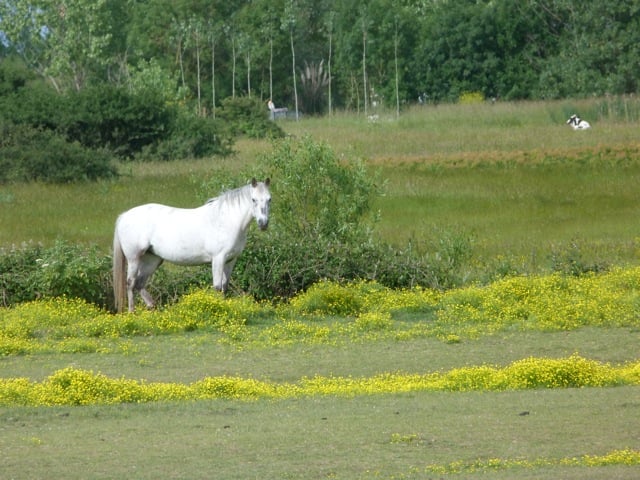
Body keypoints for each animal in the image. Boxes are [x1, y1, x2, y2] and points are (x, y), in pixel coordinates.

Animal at [112, 178, 271, 313]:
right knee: (130, 283)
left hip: (152, 259)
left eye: (269, 199)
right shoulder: (218, 259)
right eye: (253, 199)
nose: (263, 224)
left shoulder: (231, 260)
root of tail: (124, 215)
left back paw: (152, 306)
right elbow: (217, 287)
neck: (226, 220)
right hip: (134, 258)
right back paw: (132, 312)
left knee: (140, 283)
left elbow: (225, 286)